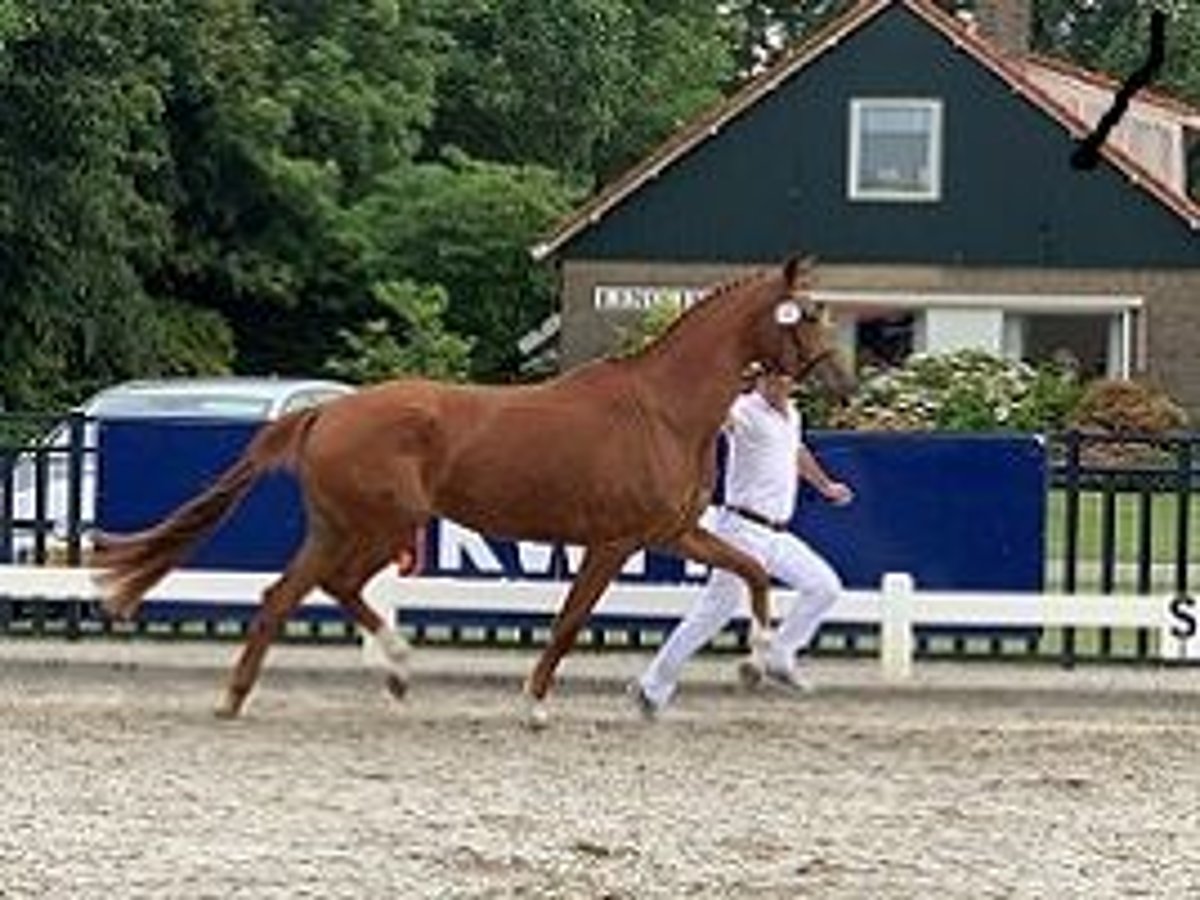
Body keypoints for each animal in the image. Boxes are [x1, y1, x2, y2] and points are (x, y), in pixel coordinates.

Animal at [93, 256, 854, 724]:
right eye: (807, 314)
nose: (841, 381)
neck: (661, 410)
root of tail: (326, 413)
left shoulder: (671, 531)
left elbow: (752, 570)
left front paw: (761, 657)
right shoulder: (613, 541)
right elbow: (571, 620)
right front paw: (536, 705)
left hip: (344, 526)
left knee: (294, 594)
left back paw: (289, 689)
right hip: (381, 524)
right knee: (320, 588)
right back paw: (370, 670)